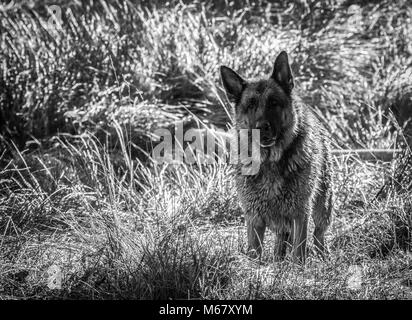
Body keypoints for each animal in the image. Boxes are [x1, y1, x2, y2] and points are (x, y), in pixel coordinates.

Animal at [220, 51, 334, 262]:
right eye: (250, 105)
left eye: (274, 103)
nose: (261, 127)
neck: (269, 160)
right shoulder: (254, 217)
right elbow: (254, 252)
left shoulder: (300, 213)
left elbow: (299, 251)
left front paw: (297, 269)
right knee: (282, 240)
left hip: (323, 206)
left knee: (319, 235)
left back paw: (324, 258)